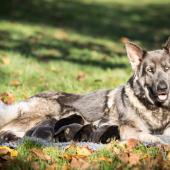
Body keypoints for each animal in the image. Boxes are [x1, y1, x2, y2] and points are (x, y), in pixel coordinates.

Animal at [0, 37, 170, 143]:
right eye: (150, 70)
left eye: (167, 68)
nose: (163, 88)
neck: (157, 108)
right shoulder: (127, 128)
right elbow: (147, 135)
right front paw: (158, 142)